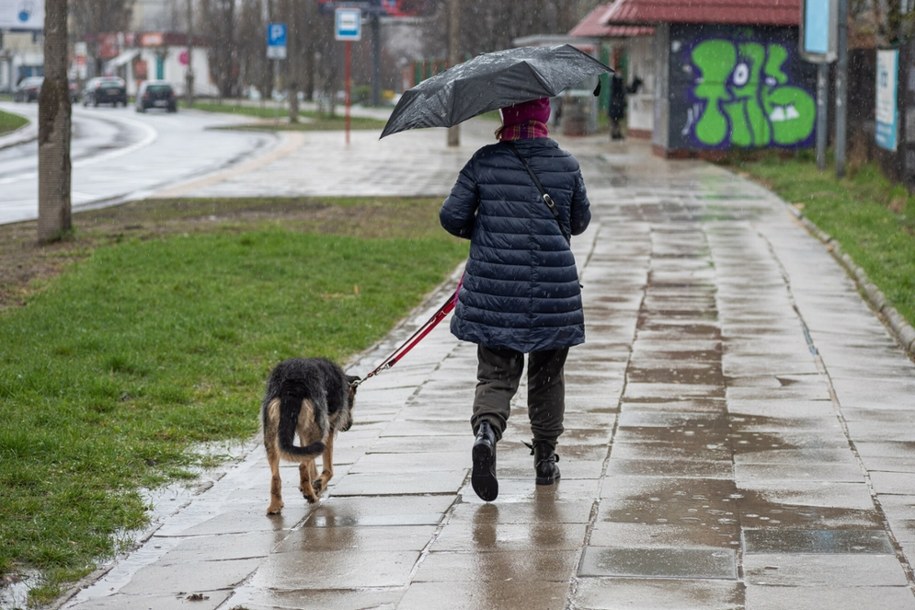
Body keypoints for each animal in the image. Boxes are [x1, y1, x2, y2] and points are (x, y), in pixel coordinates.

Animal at [262, 354, 358, 516]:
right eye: (351, 402)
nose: (348, 425)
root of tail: (292, 385)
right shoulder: (328, 429)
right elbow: (328, 468)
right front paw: (318, 484)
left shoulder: (304, 433)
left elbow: (310, 461)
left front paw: (315, 483)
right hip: (319, 431)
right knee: (302, 466)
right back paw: (311, 496)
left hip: (271, 433)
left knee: (276, 475)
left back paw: (276, 505)